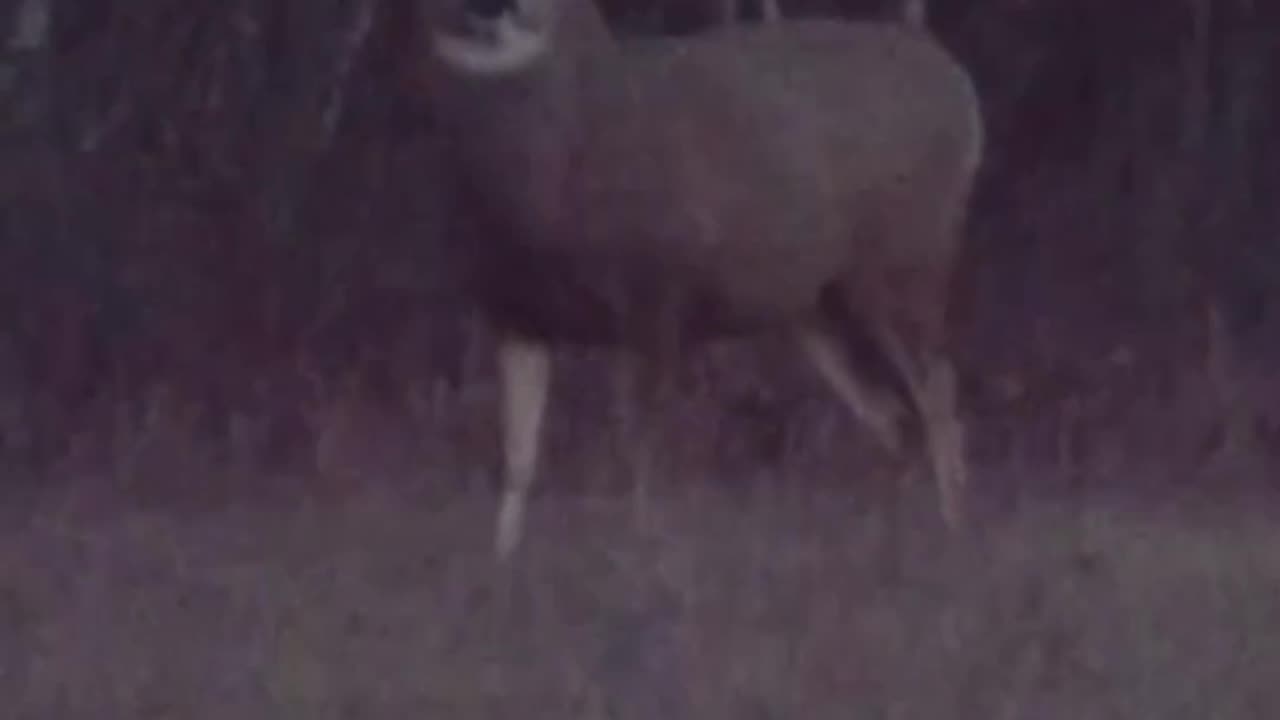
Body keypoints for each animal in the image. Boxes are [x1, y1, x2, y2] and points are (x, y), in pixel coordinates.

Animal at [424, 0, 983, 561]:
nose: (498, 13)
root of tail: (964, 98)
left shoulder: (656, 302)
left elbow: (640, 448)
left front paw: (642, 548)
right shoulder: (518, 317)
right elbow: (519, 457)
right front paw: (503, 561)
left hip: (906, 266)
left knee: (939, 396)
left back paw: (951, 535)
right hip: (818, 310)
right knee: (892, 415)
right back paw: (885, 537)